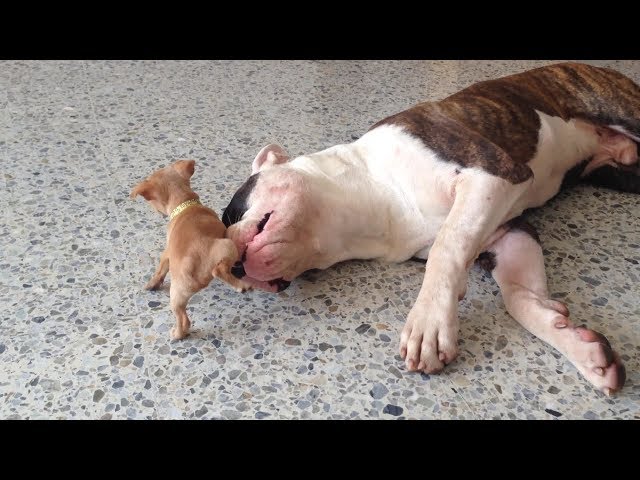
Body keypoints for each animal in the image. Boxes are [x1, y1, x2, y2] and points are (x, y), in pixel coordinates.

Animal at [131, 159, 251, 340]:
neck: (185, 204)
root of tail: (192, 268)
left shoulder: (167, 252)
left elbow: (160, 268)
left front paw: (152, 283)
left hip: (179, 292)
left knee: (185, 317)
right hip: (225, 247)